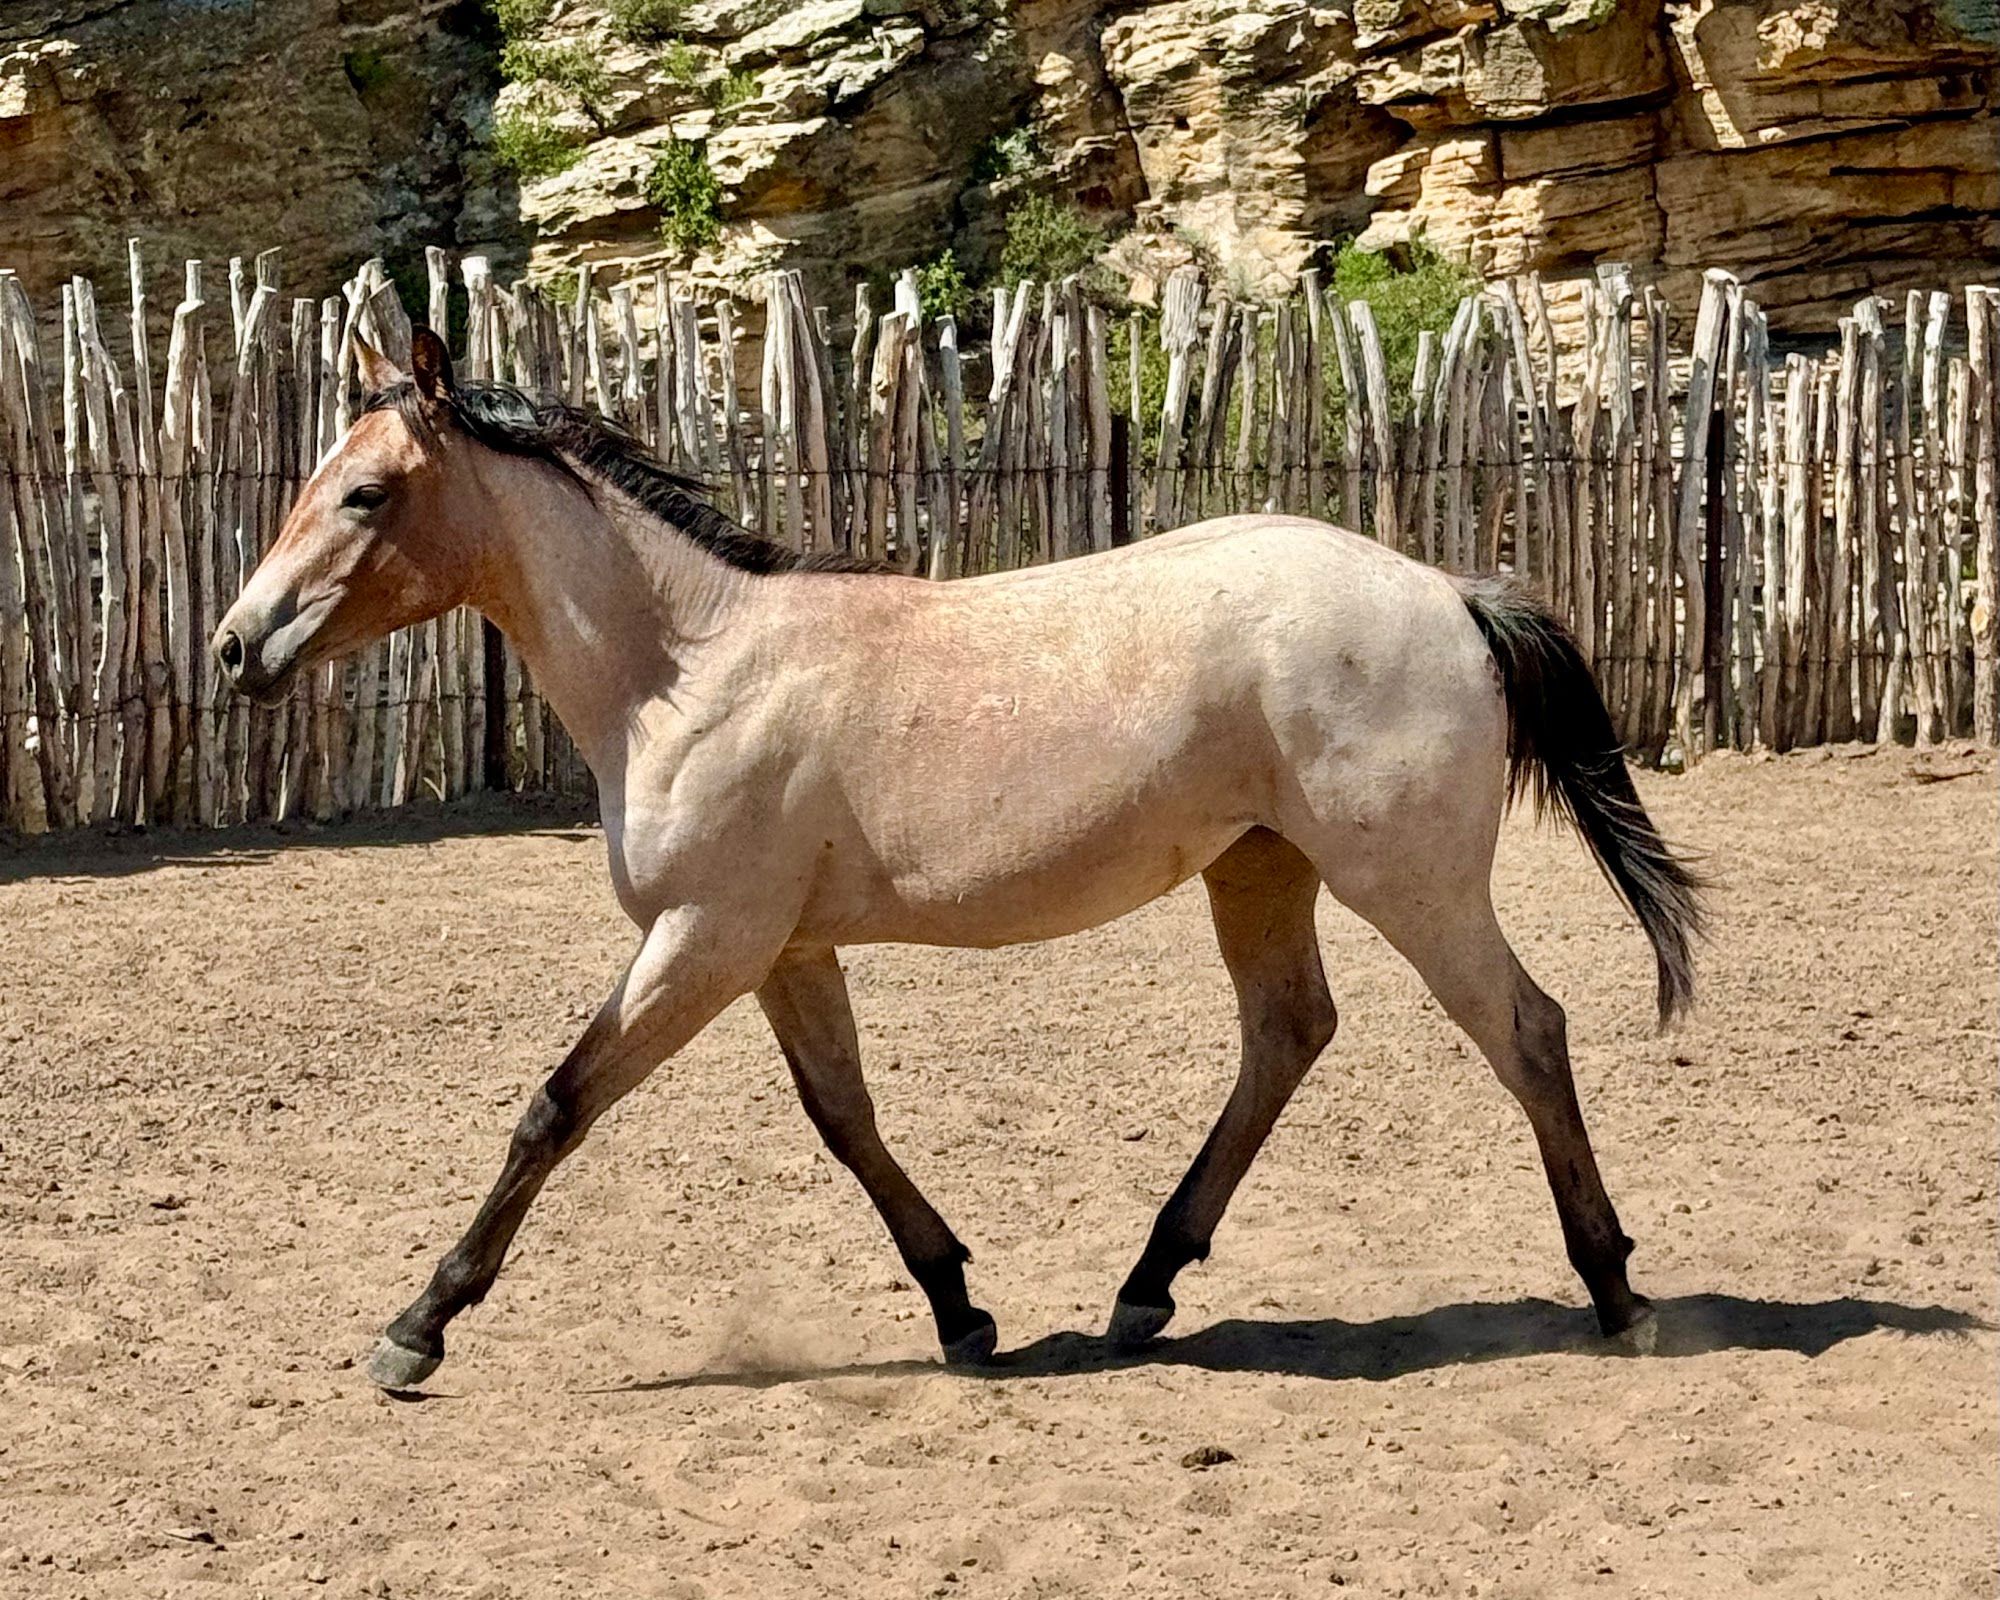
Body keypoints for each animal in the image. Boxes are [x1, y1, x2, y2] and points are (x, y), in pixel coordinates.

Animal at [214, 327, 1702, 1390]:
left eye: (365, 491)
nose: (236, 647)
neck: (686, 670)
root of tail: (1449, 588)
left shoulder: (703, 938)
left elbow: (556, 1107)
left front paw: (416, 1327)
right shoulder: (782, 950)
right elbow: (844, 1120)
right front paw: (960, 1307)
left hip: (1408, 881)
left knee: (1525, 1029)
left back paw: (1615, 1292)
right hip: (1260, 868)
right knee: (1288, 1031)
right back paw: (1145, 1288)